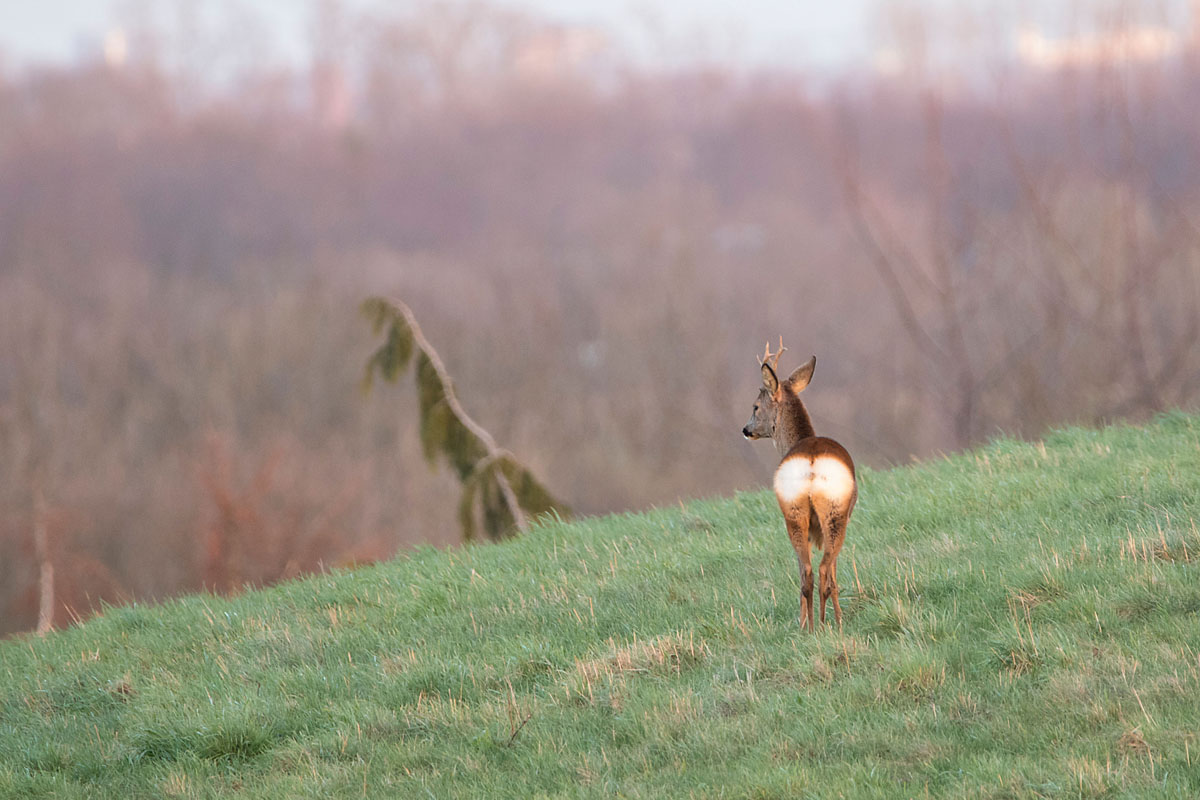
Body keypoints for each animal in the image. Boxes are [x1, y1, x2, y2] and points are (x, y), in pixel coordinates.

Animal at [744, 340, 859, 633]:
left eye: (755, 407)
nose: (746, 430)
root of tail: (811, 462)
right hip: (835, 513)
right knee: (824, 569)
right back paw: (830, 623)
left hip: (793, 512)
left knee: (806, 573)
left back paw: (808, 627)